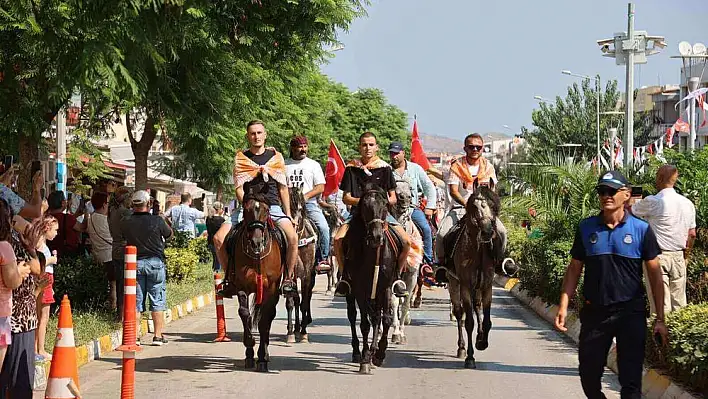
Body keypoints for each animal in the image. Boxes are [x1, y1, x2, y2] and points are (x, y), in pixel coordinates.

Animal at [225, 192, 284, 374]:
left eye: (266, 210)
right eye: (246, 210)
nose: (256, 242)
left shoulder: (270, 290)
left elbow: (264, 319)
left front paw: (262, 358)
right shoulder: (242, 286)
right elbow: (245, 314)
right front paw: (250, 349)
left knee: (269, 316)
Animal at [344, 184, 402, 376]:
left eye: (384, 206)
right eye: (365, 207)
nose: (377, 237)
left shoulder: (385, 287)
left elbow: (385, 319)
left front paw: (379, 354)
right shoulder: (360, 289)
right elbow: (364, 324)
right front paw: (365, 359)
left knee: (377, 316)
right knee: (352, 316)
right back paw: (357, 352)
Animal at [448, 186, 504, 370]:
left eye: (494, 206)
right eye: (474, 206)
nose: (487, 231)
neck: (478, 252)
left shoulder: (487, 286)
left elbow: (486, 320)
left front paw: (482, 342)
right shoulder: (465, 285)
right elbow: (469, 322)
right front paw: (470, 357)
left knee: (477, 307)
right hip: (453, 282)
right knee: (459, 313)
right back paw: (461, 348)